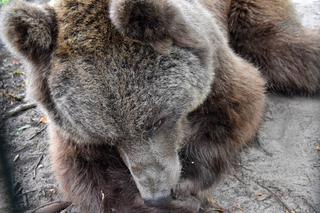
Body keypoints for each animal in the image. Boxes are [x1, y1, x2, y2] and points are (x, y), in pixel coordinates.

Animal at [0, 0, 318, 212]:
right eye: (108, 137)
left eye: (159, 120)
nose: (158, 195)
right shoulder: (66, 125)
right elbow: (83, 171)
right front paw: (144, 202)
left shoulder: (214, 61)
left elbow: (238, 102)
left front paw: (188, 180)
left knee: (279, 46)